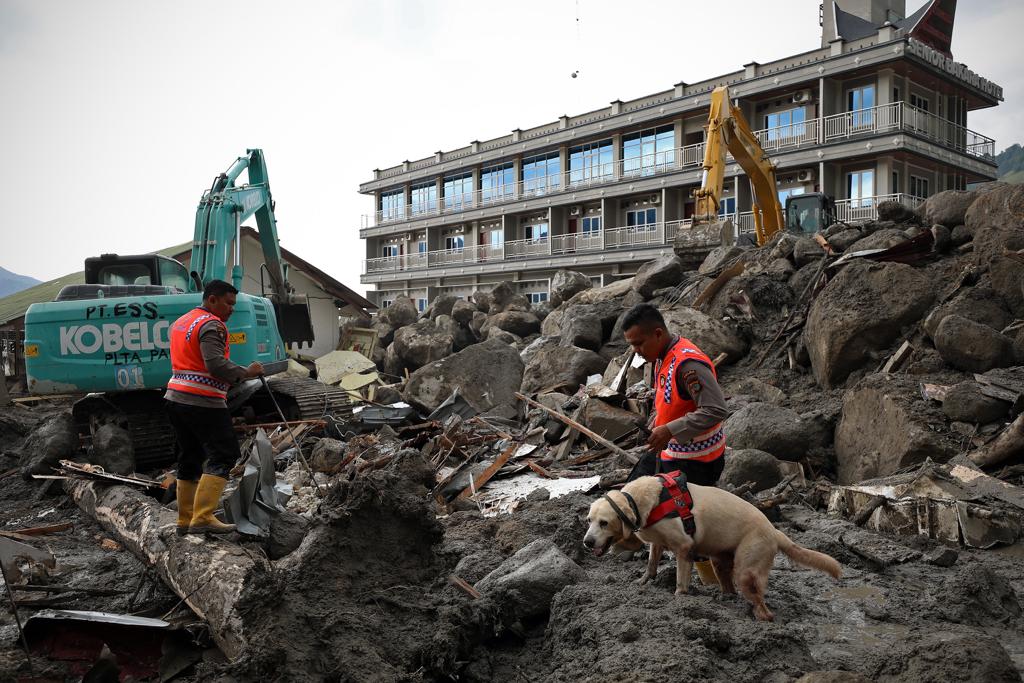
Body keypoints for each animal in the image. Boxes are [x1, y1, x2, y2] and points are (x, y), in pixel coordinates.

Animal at [585, 473, 839, 622]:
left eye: (604, 522)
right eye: (589, 520)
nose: (587, 542)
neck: (639, 501)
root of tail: (774, 531)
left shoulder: (684, 547)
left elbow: (681, 579)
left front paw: (680, 597)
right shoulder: (657, 542)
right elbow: (651, 563)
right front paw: (644, 581)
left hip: (747, 570)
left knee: (762, 605)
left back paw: (759, 616)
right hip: (720, 562)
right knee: (729, 586)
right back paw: (724, 599)